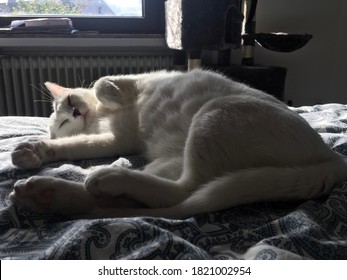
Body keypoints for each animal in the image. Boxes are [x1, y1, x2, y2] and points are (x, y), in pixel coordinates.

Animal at [9, 69, 346, 219]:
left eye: (69, 102)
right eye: (63, 123)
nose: (75, 111)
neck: (102, 117)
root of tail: (332, 160)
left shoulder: (134, 84)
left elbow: (103, 82)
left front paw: (110, 93)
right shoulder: (117, 140)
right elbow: (77, 146)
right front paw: (37, 149)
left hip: (214, 112)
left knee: (182, 193)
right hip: (196, 135)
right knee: (173, 194)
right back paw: (51, 194)